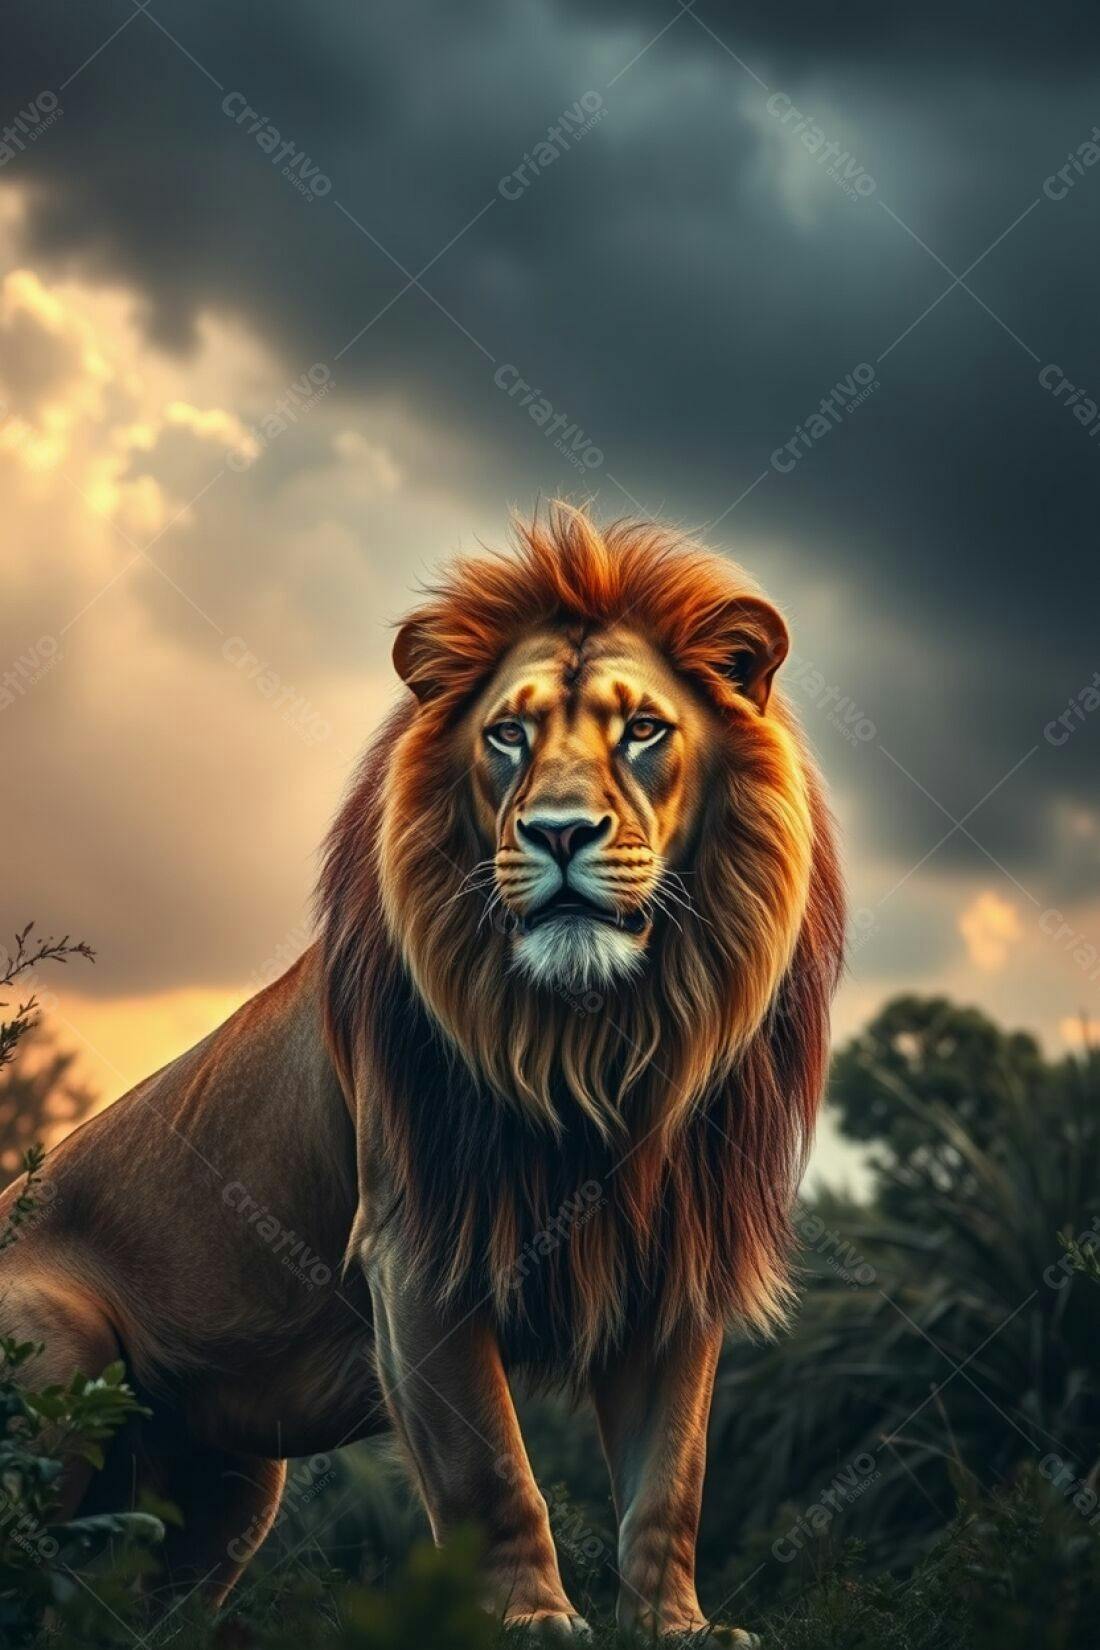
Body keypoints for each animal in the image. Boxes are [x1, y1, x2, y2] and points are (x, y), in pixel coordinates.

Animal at [0, 507, 843, 1640]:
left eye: (642, 730)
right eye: (507, 735)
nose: (559, 833)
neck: (592, 1037)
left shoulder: (675, 1263)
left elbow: (672, 1477)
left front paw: (677, 1628)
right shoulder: (417, 1251)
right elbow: (491, 1471)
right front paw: (532, 1623)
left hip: (232, 1488)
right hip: (59, 1349)